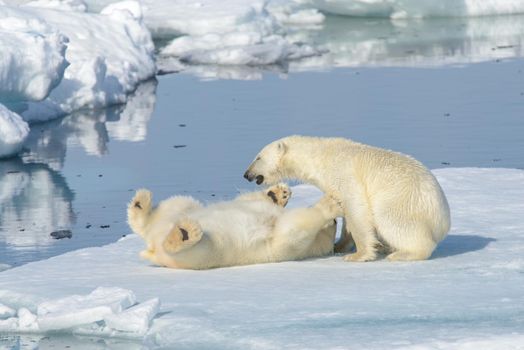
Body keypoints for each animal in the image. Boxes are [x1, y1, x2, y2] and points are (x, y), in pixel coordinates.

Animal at [127, 185, 340, 270]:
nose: (336, 222)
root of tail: (152, 248)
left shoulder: (292, 248)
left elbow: (290, 230)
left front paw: (331, 204)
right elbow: (249, 200)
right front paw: (278, 194)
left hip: (208, 251)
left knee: (189, 246)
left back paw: (185, 233)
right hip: (184, 212)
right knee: (174, 205)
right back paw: (140, 203)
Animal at [244, 135, 452, 262]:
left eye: (258, 157)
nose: (246, 174)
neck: (321, 158)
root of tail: (443, 219)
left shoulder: (345, 174)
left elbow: (356, 209)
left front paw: (358, 255)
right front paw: (340, 245)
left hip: (402, 200)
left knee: (395, 222)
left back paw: (402, 253)